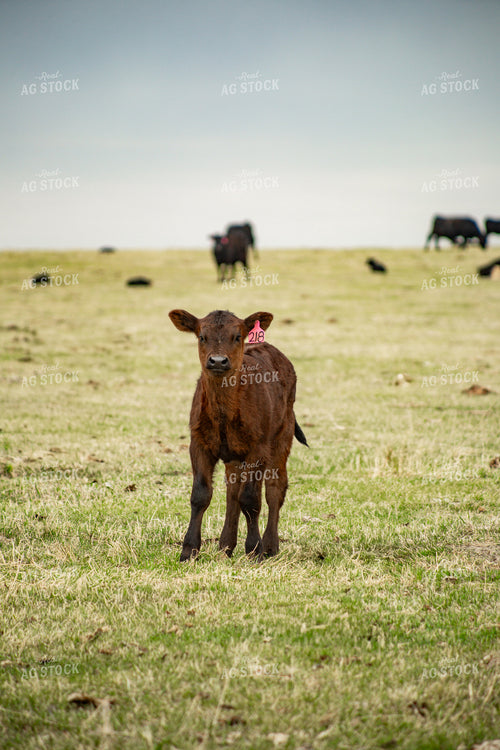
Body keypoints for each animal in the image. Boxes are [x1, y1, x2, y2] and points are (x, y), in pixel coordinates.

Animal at [168, 308, 308, 561]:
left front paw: (255, 549)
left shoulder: (258, 447)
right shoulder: (198, 444)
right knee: (233, 488)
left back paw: (270, 545)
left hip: (281, 436)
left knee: (274, 489)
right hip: (234, 454)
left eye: (237, 336)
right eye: (201, 336)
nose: (217, 361)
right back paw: (226, 544)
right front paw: (189, 550)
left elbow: (251, 499)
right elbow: (200, 495)